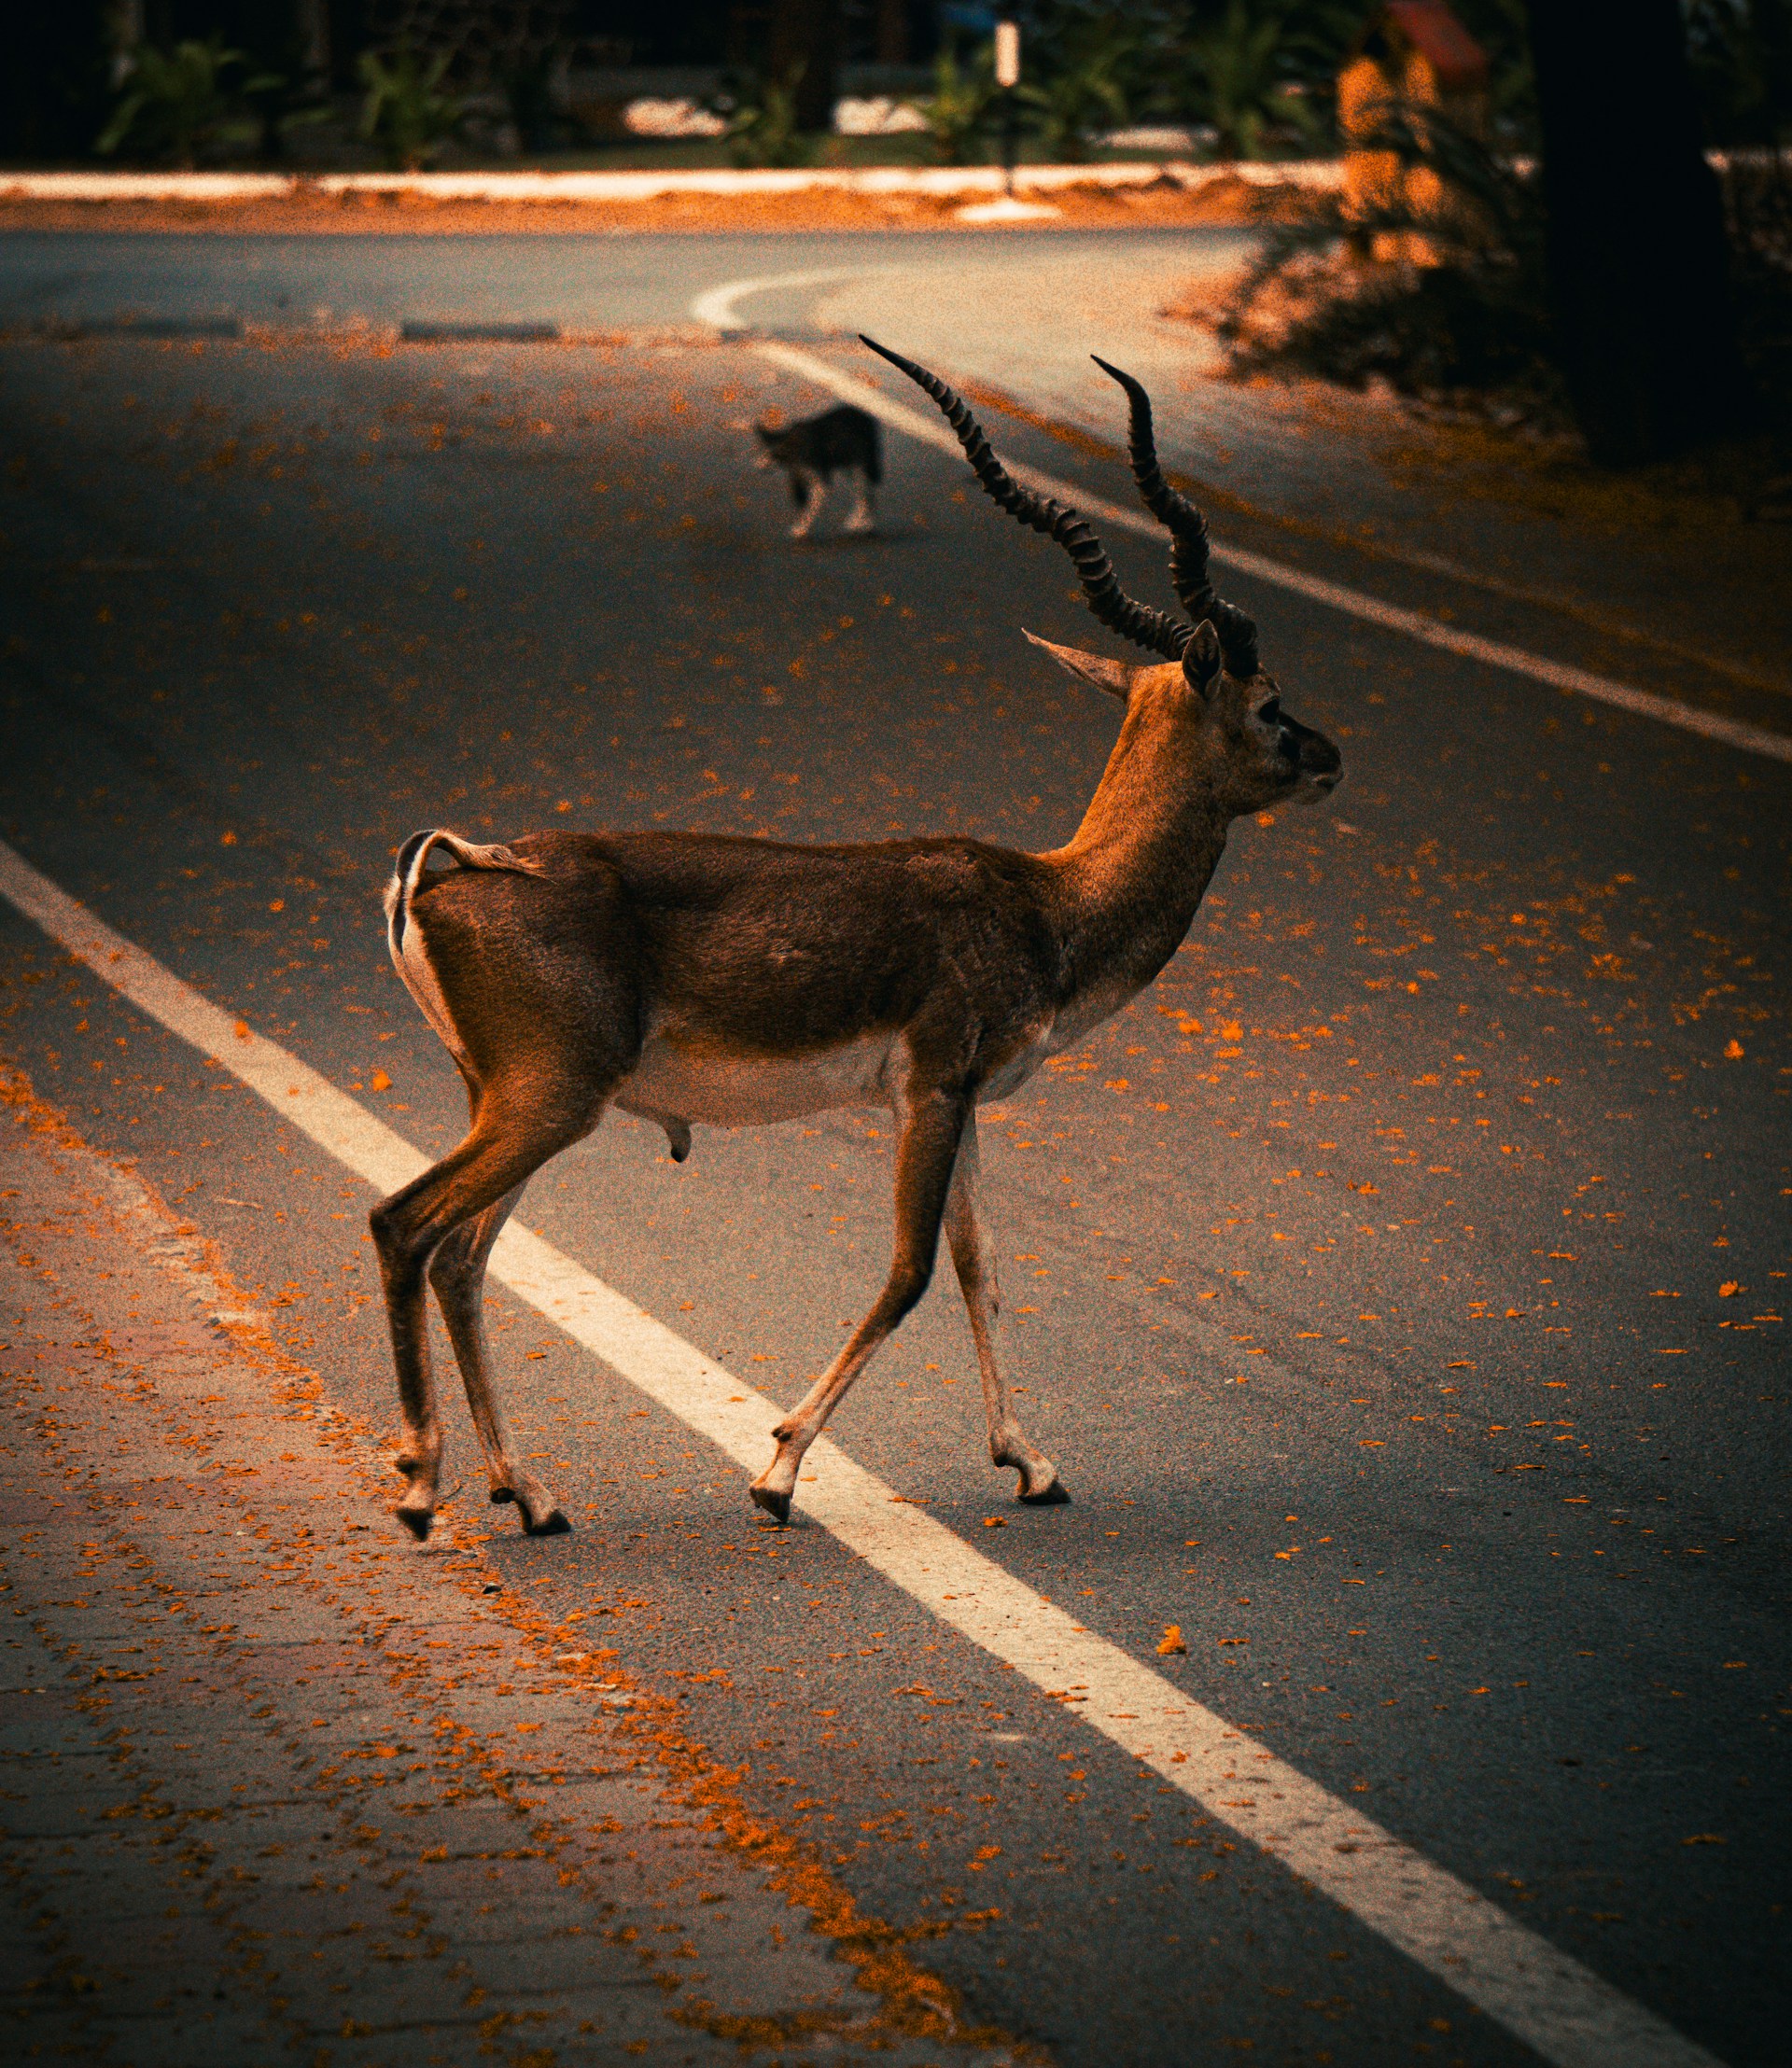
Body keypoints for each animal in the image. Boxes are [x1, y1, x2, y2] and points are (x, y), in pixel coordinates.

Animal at [371, 339, 1341, 1541]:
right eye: (1268, 700)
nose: (1330, 755)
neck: (1045, 902)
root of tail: (451, 868)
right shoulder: (929, 1087)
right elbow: (912, 1268)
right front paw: (779, 1470)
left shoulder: (959, 1100)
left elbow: (979, 1264)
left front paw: (1032, 1463)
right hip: (548, 1101)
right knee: (407, 1224)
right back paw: (421, 1486)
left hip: (508, 1101)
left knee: (461, 1257)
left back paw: (532, 1493)